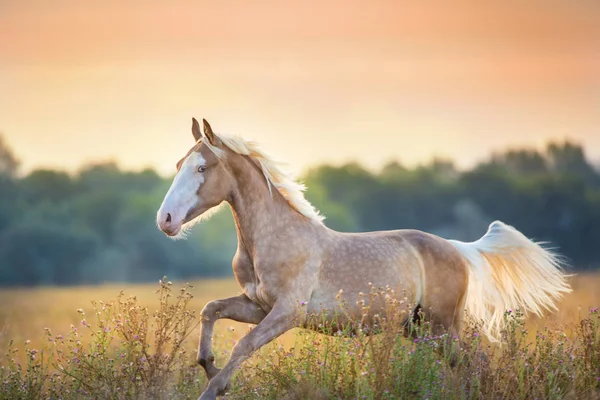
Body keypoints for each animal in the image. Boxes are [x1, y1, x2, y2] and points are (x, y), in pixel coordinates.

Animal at [156, 117, 572, 398]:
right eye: (178, 165)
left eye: (202, 167)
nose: (166, 219)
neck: (271, 239)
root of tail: (458, 247)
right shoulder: (257, 306)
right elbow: (210, 310)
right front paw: (209, 367)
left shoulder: (288, 312)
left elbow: (243, 346)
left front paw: (215, 388)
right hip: (418, 328)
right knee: (466, 367)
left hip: (442, 325)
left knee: (475, 365)